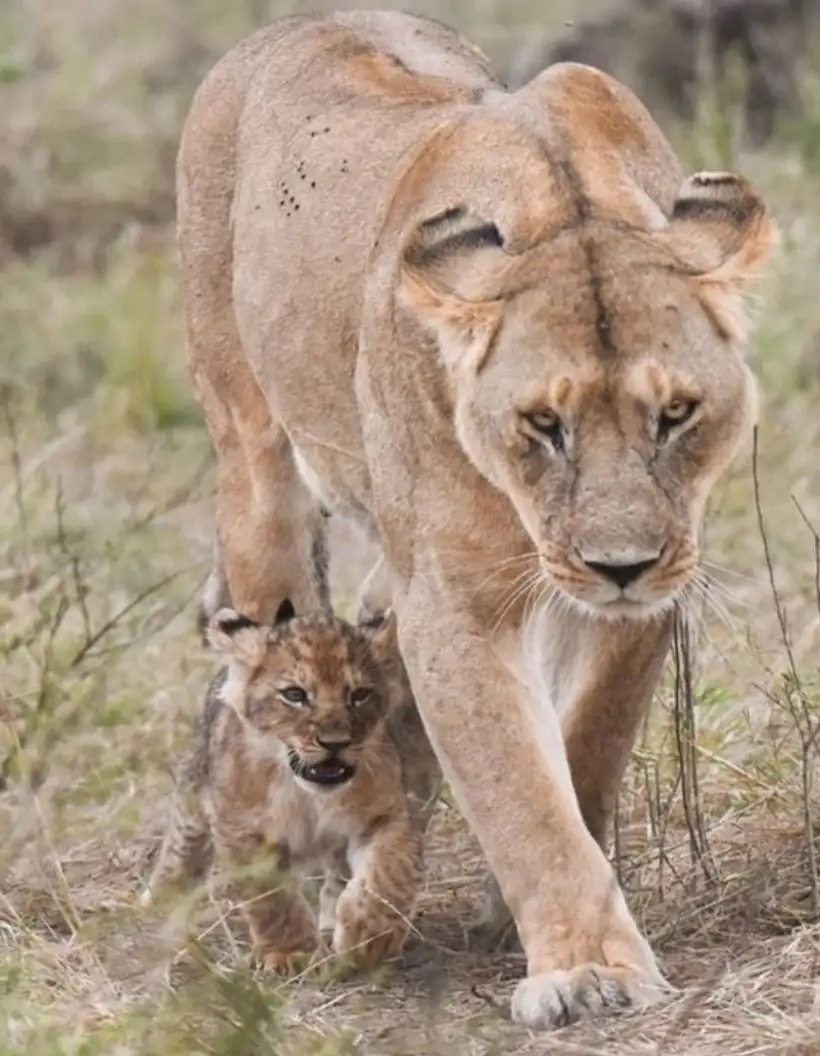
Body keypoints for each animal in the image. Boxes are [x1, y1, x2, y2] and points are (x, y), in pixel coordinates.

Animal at [141, 600, 440, 972]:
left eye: (359, 695)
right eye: (295, 695)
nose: (335, 743)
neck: (308, 796)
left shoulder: (389, 813)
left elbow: (388, 874)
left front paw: (367, 939)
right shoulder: (241, 828)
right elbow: (271, 897)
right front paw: (290, 954)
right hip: (195, 792)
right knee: (181, 844)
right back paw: (160, 895)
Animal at [177, 9, 772, 1029]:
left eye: (675, 413)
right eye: (543, 423)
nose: (620, 564)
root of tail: (298, 22)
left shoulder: (649, 593)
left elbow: (584, 747)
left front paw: (525, 918)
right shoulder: (455, 609)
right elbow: (519, 789)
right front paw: (585, 972)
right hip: (255, 473)